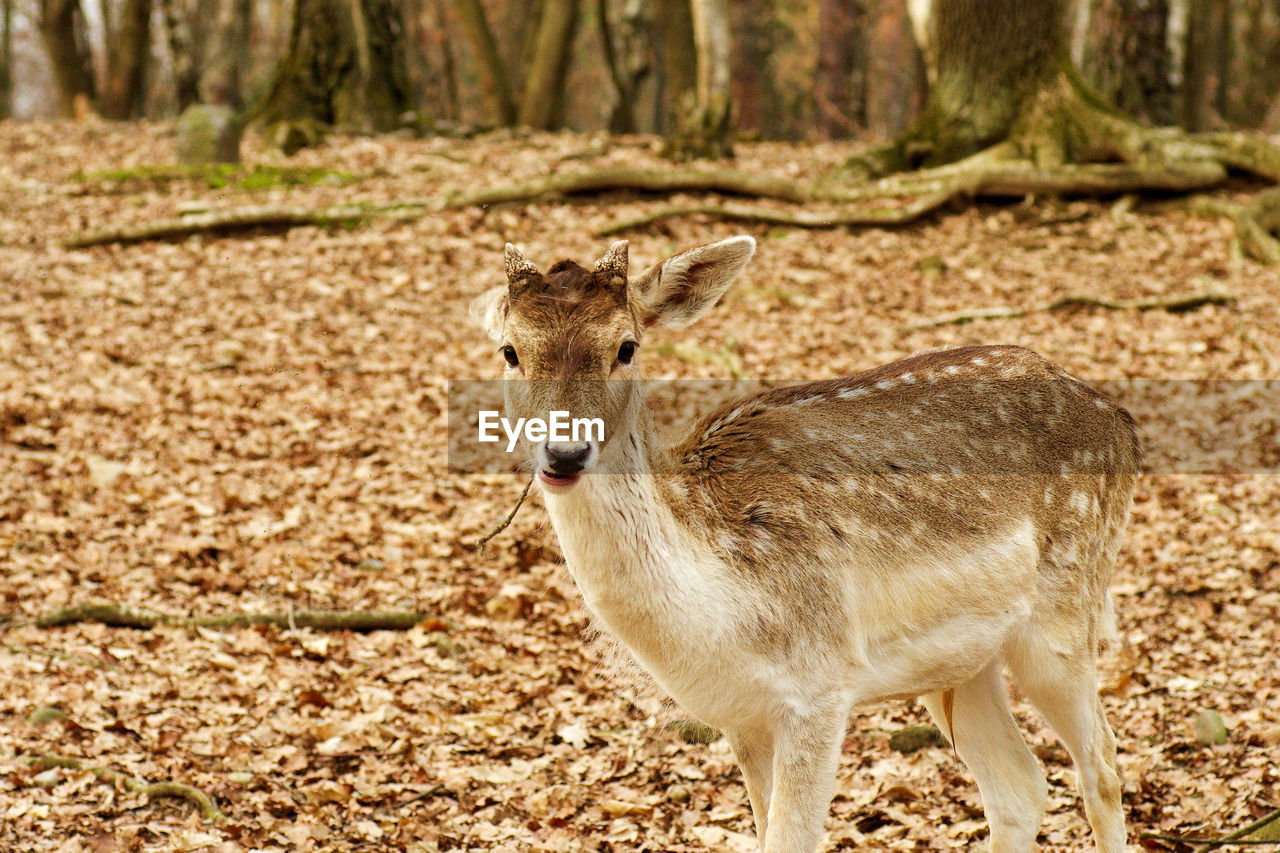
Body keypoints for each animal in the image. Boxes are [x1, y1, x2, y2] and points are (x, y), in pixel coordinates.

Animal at [471, 234, 1141, 850]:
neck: (720, 612)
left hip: (1066, 609)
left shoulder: (821, 686)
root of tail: (1123, 425)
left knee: (1103, 769)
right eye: (510, 350)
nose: (564, 452)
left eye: (626, 347)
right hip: (960, 661)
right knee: (1019, 785)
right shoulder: (742, 717)